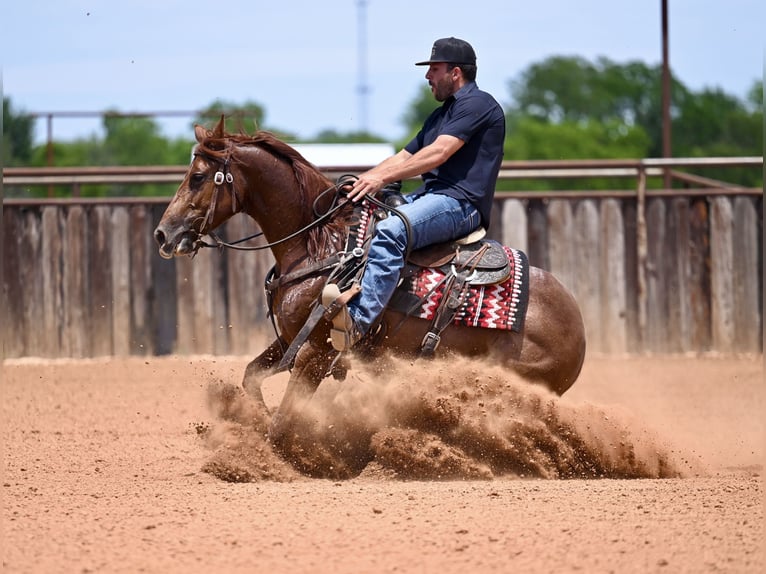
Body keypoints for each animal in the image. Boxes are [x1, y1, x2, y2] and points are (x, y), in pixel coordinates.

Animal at [154, 117, 586, 451]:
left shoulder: (317, 352)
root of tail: (578, 330)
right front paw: (255, 422)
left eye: (197, 177)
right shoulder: (291, 338)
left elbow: (283, 421)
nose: (163, 234)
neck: (321, 245)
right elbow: (251, 377)